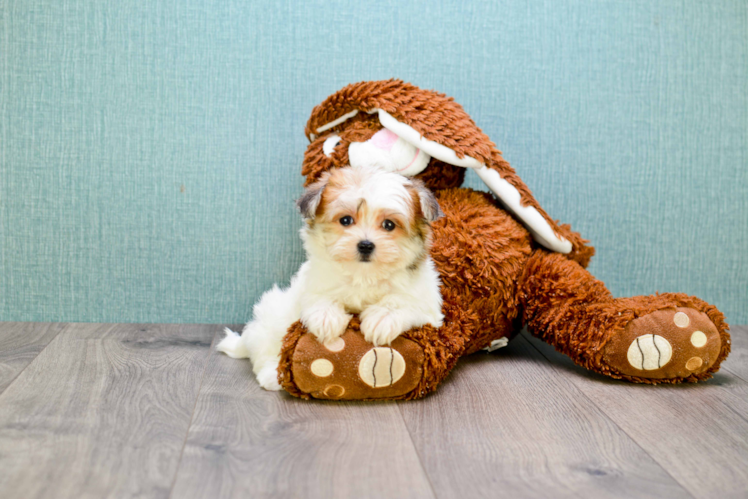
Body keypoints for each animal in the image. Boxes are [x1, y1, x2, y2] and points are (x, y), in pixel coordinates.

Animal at [216, 165, 444, 390]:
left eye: (389, 225)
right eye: (346, 220)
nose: (365, 245)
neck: (363, 276)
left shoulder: (427, 303)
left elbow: (402, 302)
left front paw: (382, 318)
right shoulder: (313, 283)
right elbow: (319, 298)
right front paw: (327, 318)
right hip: (274, 314)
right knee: (266, 348)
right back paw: (272, 374)